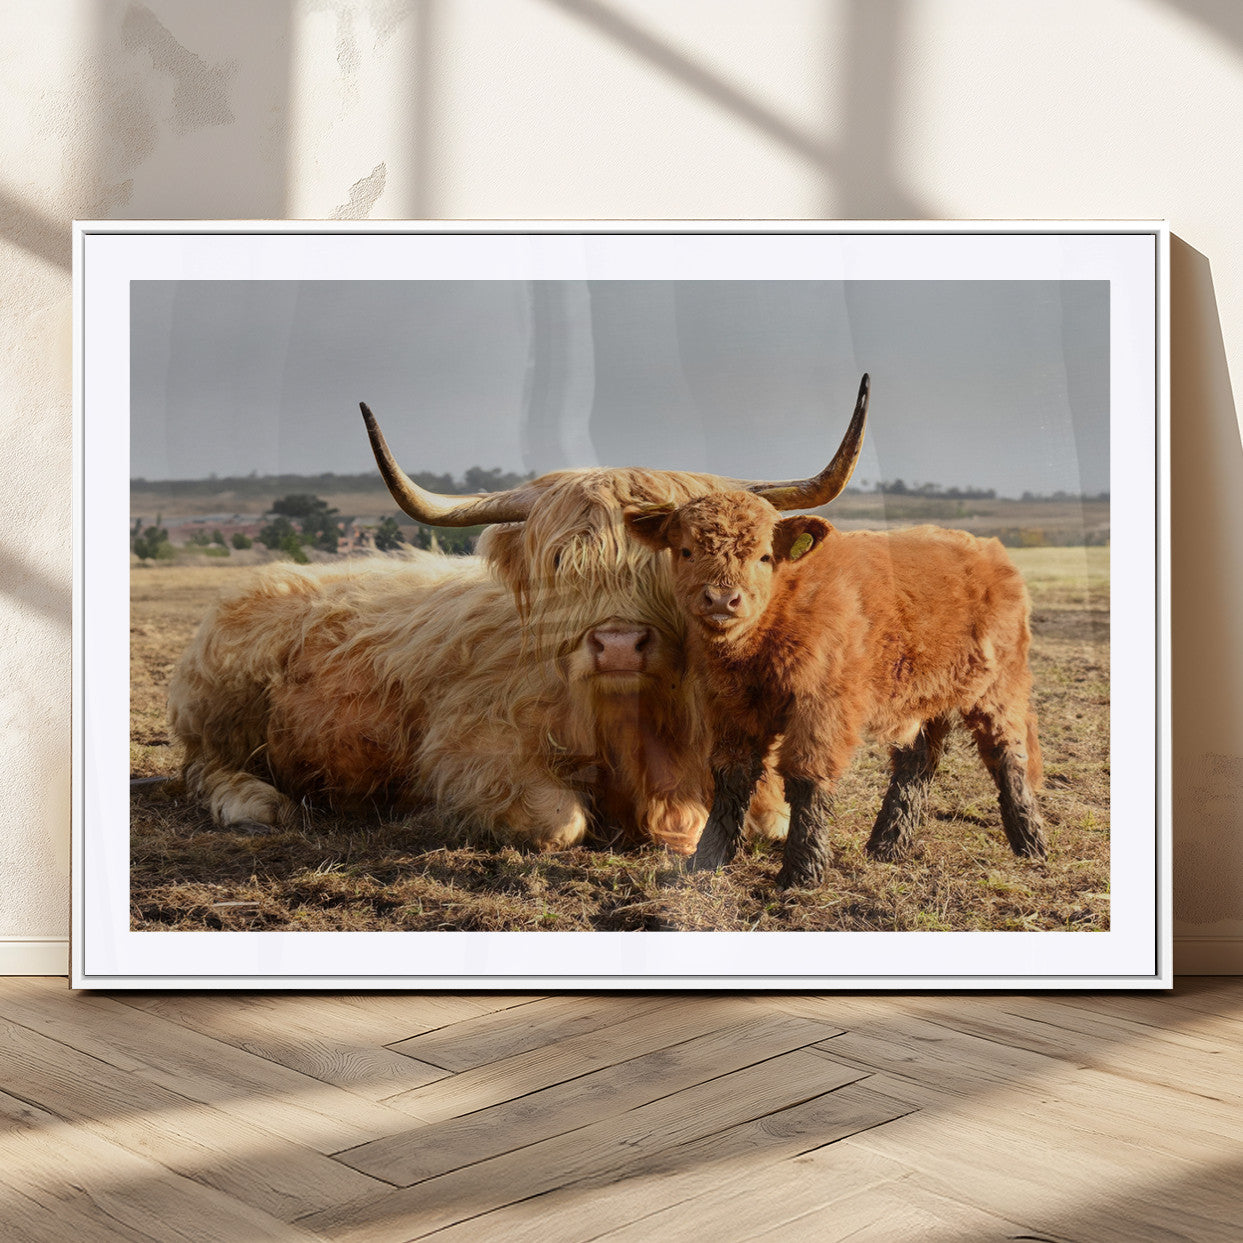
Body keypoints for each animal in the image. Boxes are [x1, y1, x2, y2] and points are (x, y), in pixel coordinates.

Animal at [166, 377, 872, 855]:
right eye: (560, 561)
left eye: (676, 556)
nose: (619, 645)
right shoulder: (468, 750)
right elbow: (559, 821)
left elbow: (770, 817)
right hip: (222, 708)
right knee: (203, 769)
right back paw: (254, 804)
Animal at [624, 484, 1046, 888]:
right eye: (686, 550)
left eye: (764, 556)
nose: (721, 599)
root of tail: (990, 549)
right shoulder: (731, 706)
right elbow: (732, 775)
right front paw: (705, 862)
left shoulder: (822, 706)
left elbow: (805, 777)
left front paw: (802, 871)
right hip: (922, 695)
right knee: (918, 760)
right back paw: (888, 845)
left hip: (999, 688)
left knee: (1007, 754)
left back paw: (1031, 843)